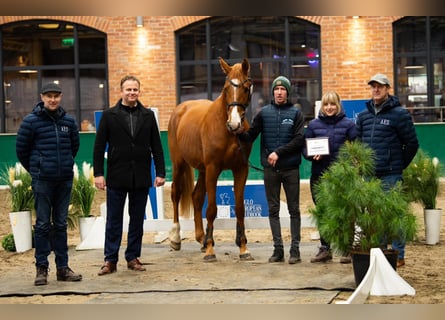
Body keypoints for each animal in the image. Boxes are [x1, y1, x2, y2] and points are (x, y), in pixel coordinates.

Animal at [168, 58, 253, 262]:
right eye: (225, 88)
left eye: (246, 88)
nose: (234, 124)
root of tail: (181, 109)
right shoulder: (213, 168)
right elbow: (212, 209)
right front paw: (210, 250)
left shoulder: (241, 169)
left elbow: (239, 208)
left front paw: (243, 248)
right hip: (179, 164)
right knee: (176, 193)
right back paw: (176, 238)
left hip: (202, 169)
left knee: (196, 197)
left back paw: (201, 238)